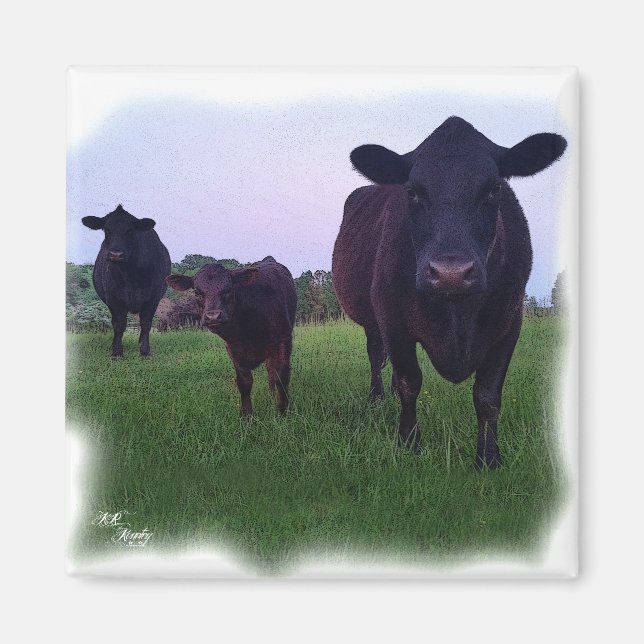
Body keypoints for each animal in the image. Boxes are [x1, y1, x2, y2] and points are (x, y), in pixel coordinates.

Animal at [81, 204, 171, 358]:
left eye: (130, 230)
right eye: (107, 229)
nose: (115, 254)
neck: (131, 276)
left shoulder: (153, 298)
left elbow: (146, 323)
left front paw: (145, 351)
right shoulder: (113, 298)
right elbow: (118, 324)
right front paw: (117, 352)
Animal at [166, 257, 297, 417]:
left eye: (229, 289)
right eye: (197, 292)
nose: (213, 316)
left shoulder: (283, 341)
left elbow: (281, 376)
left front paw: (283, 411)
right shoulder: (234, 349)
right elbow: (244, 382)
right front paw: (246, 415)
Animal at [332, 116, 567, 468]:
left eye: (494, 189)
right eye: (412, 191)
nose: (450, 274)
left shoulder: (510, 321)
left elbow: (487, 394)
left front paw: (488, 457)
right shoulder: (391, 316)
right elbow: (409, 381)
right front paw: (409, 443)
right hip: (371, 317)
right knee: (377, 356)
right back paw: (377, 398)